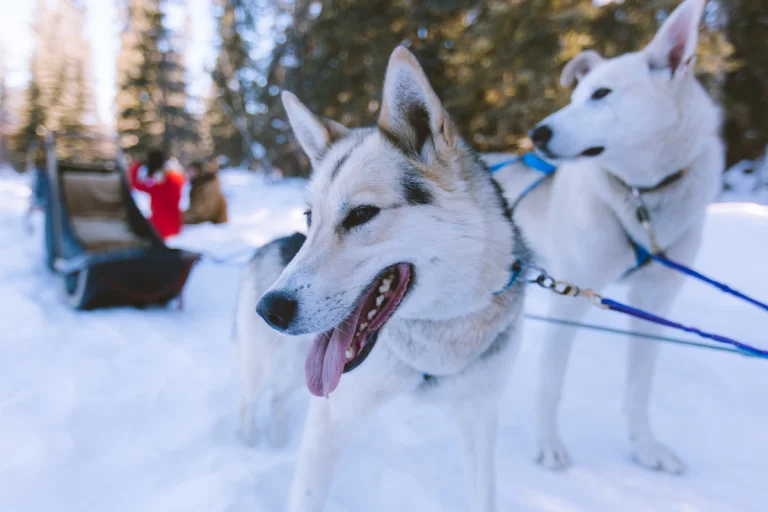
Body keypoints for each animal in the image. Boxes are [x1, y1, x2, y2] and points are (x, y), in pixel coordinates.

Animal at [237, 46, 532, 510]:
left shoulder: (478, 418)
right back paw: (248, 446)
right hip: (265, 364)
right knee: (249, 400)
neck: (436, 344)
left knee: (279, 399)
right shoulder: (331, 419)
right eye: (310, 217)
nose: (270, 309)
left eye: (361, 214)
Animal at [492, 0, 728, 474]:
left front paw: (645, 447)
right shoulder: (573, 293)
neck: (641, 198)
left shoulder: (654, 303)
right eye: (575, 96)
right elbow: (551, 380)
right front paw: (548, 443)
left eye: (601, 94)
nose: (537, 133)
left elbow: (639, 388)